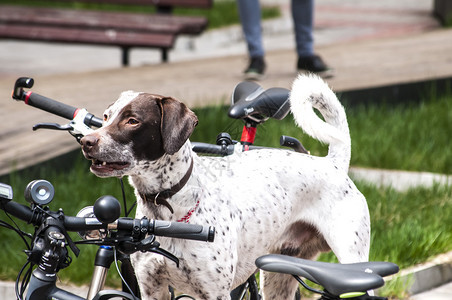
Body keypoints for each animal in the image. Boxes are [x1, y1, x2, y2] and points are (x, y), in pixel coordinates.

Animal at [80, 74, 370, 300]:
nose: (86, 141)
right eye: (105, 116)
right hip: (278, 274)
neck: (165, 212)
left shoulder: (215, 291)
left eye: (132, 120)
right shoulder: (151, 287)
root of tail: (333, 163)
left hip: (353, 265)